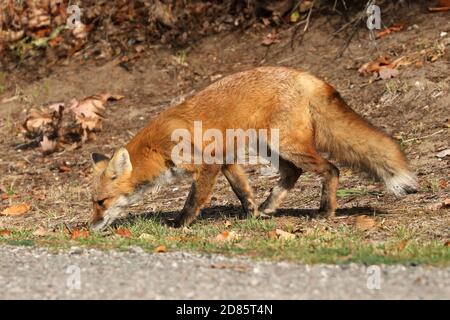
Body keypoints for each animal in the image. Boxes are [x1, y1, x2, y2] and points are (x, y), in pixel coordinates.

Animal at [89, 67, 416, 230]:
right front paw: (254, 214)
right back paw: (271, 205)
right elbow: (243, 190)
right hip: (269, 146)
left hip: (285, 144)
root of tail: (304, 76)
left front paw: (180, 224)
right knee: (293, 173)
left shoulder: (208, 163)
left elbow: (193, 200)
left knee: (331, 169)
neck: (156, 148)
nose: (91, 227)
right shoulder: (225, 161)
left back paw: (325, 212)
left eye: (101, 202)